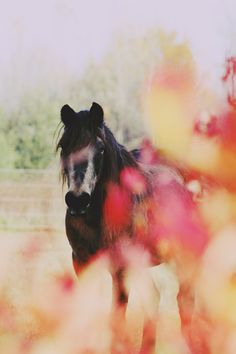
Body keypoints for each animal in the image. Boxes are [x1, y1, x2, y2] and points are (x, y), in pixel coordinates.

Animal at [56, 102, 208, 354]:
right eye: (64, 147)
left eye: (100, 149)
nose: (78, 200)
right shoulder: (82, 264)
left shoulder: (120, 269)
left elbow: (117, 320)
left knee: (185, 301)